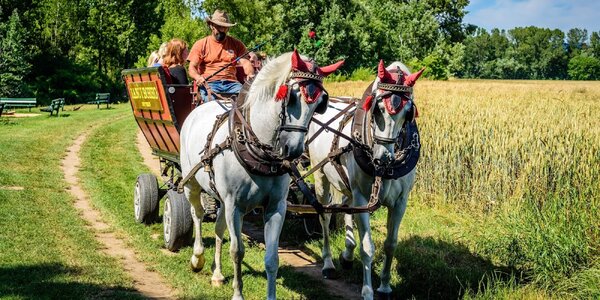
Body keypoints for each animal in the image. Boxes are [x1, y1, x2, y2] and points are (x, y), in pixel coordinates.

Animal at [179, 50, 342, 298]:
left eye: (319, 105)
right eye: (291, 98)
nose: (293, 151)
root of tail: (199, 108)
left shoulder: (275, 206)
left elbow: (272, 259)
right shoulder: (234, 205)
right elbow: (237, 251)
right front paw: (238, 294)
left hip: (220, 196)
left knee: (218, 227)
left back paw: (217, 274)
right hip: (191, 184)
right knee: (196, 213)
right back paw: (197, 258)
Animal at [308, 59, 424, 298]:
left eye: (408, 112)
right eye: (377, 109)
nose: (383, 158)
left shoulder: (400, 202)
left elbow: (391, 243)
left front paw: (385, 286)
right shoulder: (363, 197)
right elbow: (367, 246)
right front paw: (368, 290)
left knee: (347, 208)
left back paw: (347, 254)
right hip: (321, 176)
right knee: (325, 216)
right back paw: (328, 264)